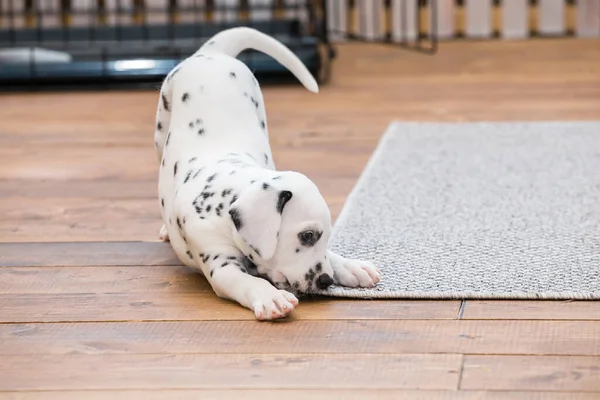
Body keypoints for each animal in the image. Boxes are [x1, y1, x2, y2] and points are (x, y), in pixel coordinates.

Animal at [155, 26, 380, 320]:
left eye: (324, 236)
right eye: (307, 236)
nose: (326, 281)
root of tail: (212, 53)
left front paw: (349, 265)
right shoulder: (220, 263)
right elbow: (246, 281)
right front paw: (270, 296)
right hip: (161, 128)